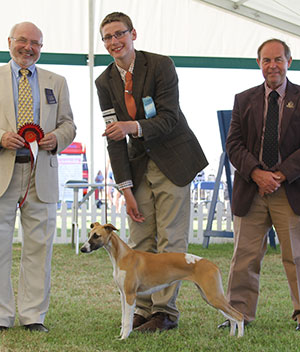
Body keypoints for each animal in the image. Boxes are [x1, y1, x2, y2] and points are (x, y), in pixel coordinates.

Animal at [80, 221, 244, 340]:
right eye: (89, 234)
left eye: (97, 236)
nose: (82, 249)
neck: (122, 256)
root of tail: (213, 265)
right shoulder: (123, 295)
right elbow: (123, 318)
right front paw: (120, 335)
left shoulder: (130, 296)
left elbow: (127, 321)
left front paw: (124, 338)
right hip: (209, 296)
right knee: (232, 317)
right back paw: (231, 336)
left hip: (213, 296)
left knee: (239, 316)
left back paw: (239, 338)